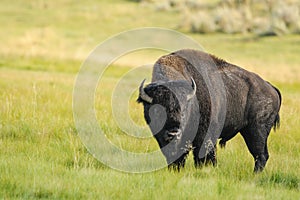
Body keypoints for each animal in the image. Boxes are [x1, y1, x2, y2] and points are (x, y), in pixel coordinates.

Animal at [137, 49, 282, 173]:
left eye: (184, 110)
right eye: (157, 112)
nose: (173, 133)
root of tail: (270, 87)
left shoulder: (204, 135)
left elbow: (203, 156)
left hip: (257, 131)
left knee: (260, 155)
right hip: (248, 131)